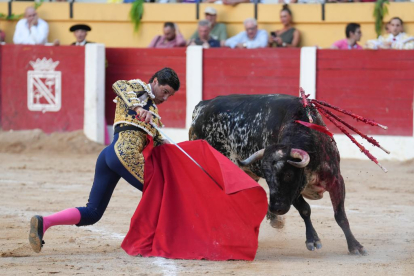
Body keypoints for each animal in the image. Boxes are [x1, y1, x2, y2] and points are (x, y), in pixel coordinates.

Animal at [189, 94, 368, 256]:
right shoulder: (293, 192)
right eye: (268, 179)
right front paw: (313, 239)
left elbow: (340, 215)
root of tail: (200, 108)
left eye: (288, 175)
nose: (276, 208)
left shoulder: (335, 180)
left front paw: (355, 246)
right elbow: (305, 210)